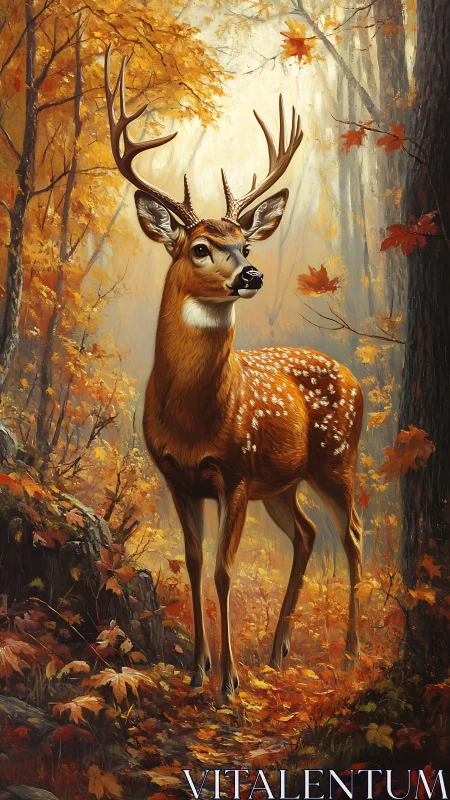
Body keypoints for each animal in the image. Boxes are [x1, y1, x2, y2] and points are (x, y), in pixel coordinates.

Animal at [105, 46, 364, 699]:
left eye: (246, 243)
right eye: (199, 246)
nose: (252, 274)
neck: (196, 418)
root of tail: (355, 381)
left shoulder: (235, 473)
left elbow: (224, 570)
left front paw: (228, 680)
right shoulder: (178, 475)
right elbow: (197, 565)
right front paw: (198, 668)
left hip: (335, 458)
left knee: (351, 533)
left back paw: (350, 652)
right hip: (286, 481)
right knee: (308, 534)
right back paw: (277, 649)